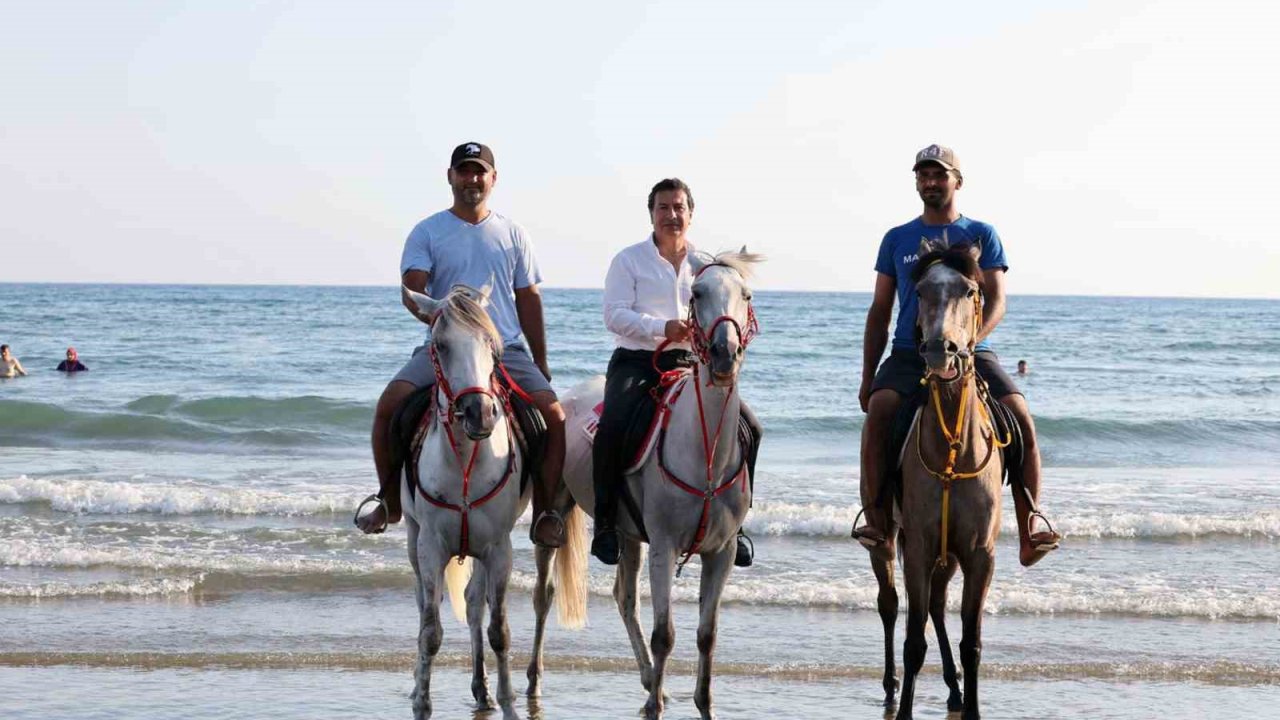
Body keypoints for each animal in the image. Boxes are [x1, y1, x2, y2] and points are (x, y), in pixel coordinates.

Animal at [396, 283, 586, 712]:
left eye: (491, 345)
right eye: (440, 345)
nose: (478, 413)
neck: (465, 461)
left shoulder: (498, 548)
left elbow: (498, 628)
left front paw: (510, 701)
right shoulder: (431, 545)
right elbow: (430, 630)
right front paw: (422, 702)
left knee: (472, 603)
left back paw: (482, 689)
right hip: (415, 538)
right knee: (423, 604)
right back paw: (420, 684)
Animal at [535, 248, 762, 717]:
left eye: (746, 294)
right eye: (697, 294)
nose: (724, 354)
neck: (705, 453)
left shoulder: (721, 553)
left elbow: (706, 635)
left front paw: (701, 703)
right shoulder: (664, 546)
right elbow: (665, 635)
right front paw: (657, 706)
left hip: (627, 533)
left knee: (624, 598)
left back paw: (646, 683)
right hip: (557, 513)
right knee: (544, 595)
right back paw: (534, 681)